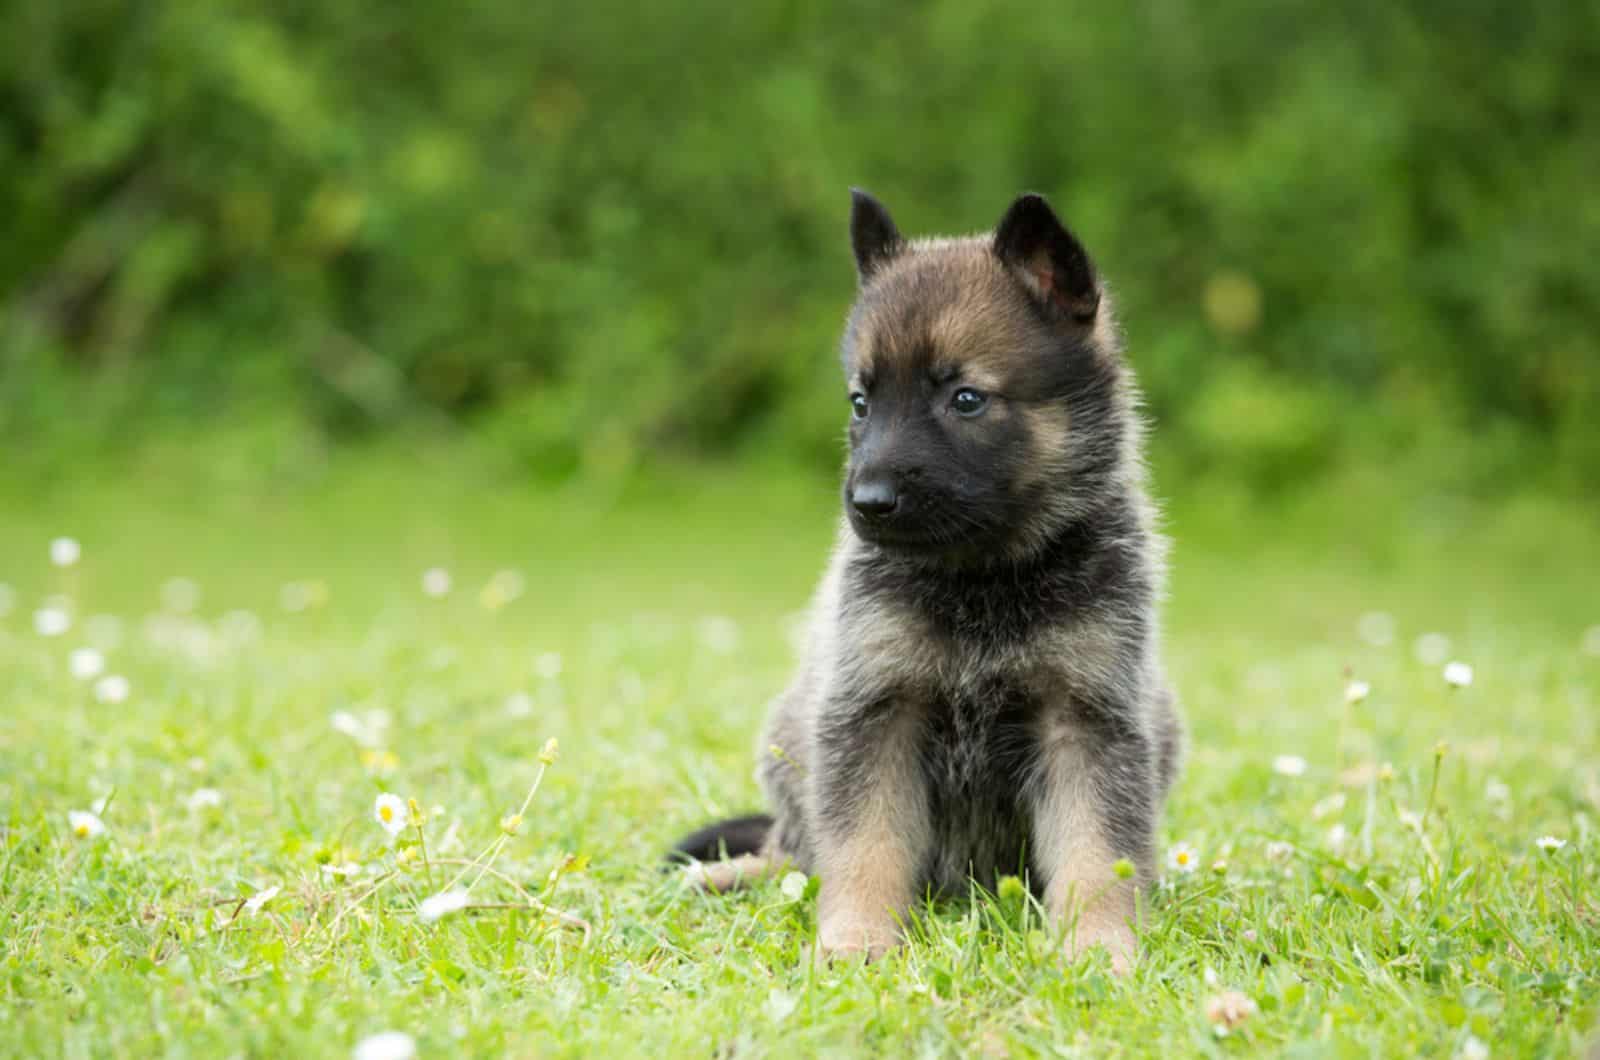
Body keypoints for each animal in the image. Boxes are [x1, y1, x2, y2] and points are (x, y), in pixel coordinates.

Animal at [668, 191, 1184, 973]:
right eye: (861, 402)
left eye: (966, 400)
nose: (867, 501)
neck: (985, 579)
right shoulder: (876, 711)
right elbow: (864, 845)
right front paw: (856, 938)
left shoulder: (1087, 719)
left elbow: (1099, 853)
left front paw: (1098, 946)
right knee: (795, 852)